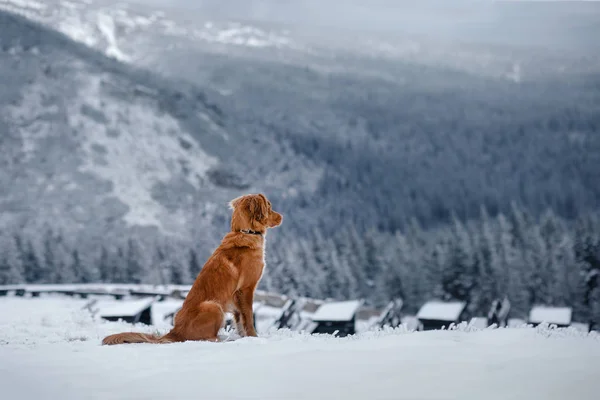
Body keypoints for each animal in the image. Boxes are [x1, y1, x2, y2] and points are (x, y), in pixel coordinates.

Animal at [102, 194, 282, 344]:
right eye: (269, 206)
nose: (282, 216)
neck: (246, 232)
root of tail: (175, 332)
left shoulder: (236, 298)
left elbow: (239, 321)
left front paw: (243, 337)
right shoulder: (245, 289)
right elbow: (248, 317)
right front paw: (254, 337)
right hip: (213, 306)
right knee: (207, 338)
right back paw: (223, 339)